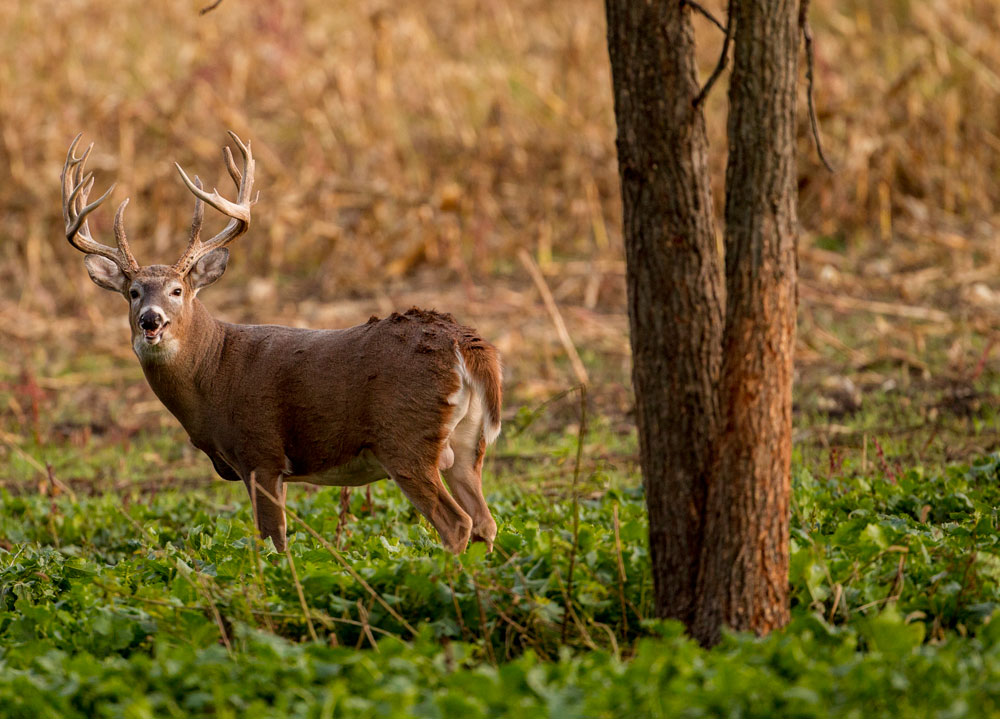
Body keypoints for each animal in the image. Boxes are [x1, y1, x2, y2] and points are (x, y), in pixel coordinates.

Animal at [61, 132, 500, 556]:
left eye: (176, 290)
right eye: (133, 292)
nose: (151, 320)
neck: (213, 372)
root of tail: (464, 343)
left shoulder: (261, 453)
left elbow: (274, 541)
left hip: (406, 439)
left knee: (456, 522)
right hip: (466, 446)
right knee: (485, 521)